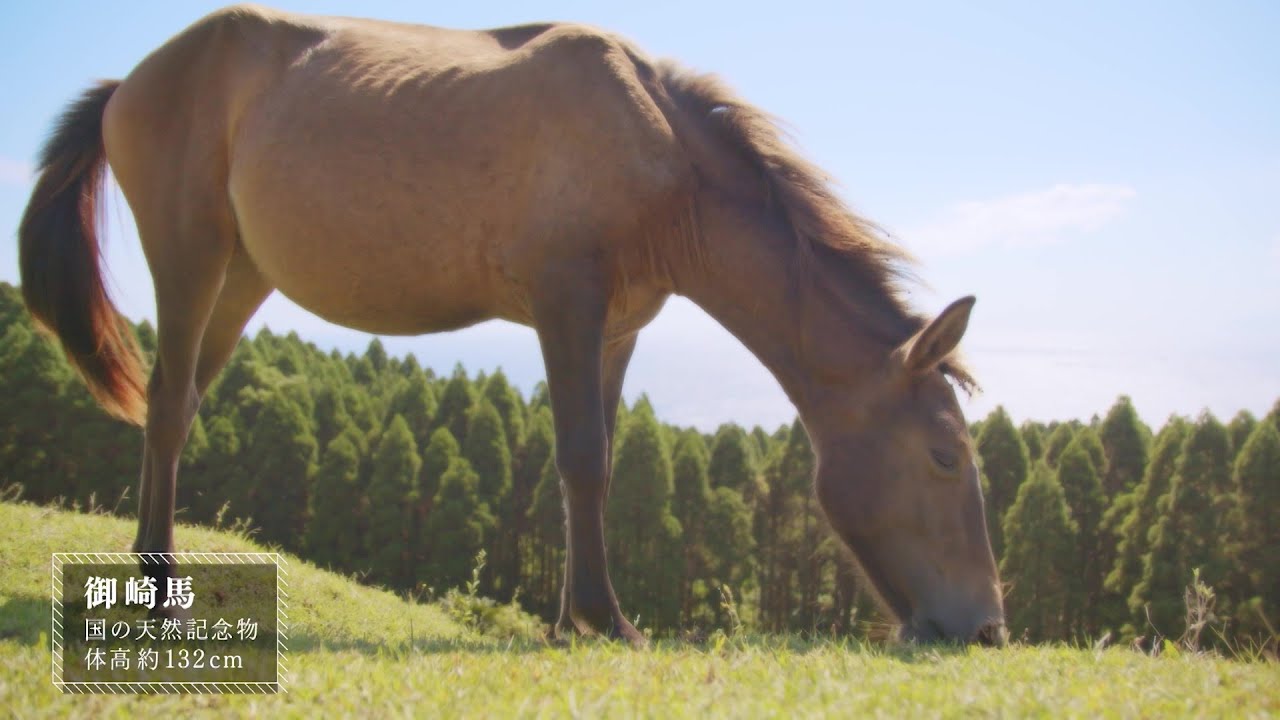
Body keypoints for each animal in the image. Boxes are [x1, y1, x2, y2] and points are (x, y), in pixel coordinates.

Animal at [19, 5, 1006, 646]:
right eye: (945, 457)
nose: (987, 628)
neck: (660, 151)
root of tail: (131, 82)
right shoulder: (567, 300)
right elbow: (582, 459)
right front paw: (605, 620)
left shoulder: (615, 328)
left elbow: (594, 463)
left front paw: (573, 618)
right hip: (189, 253)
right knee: (169, 403)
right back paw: (156, 586)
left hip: (240, 276)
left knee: (177, 403)